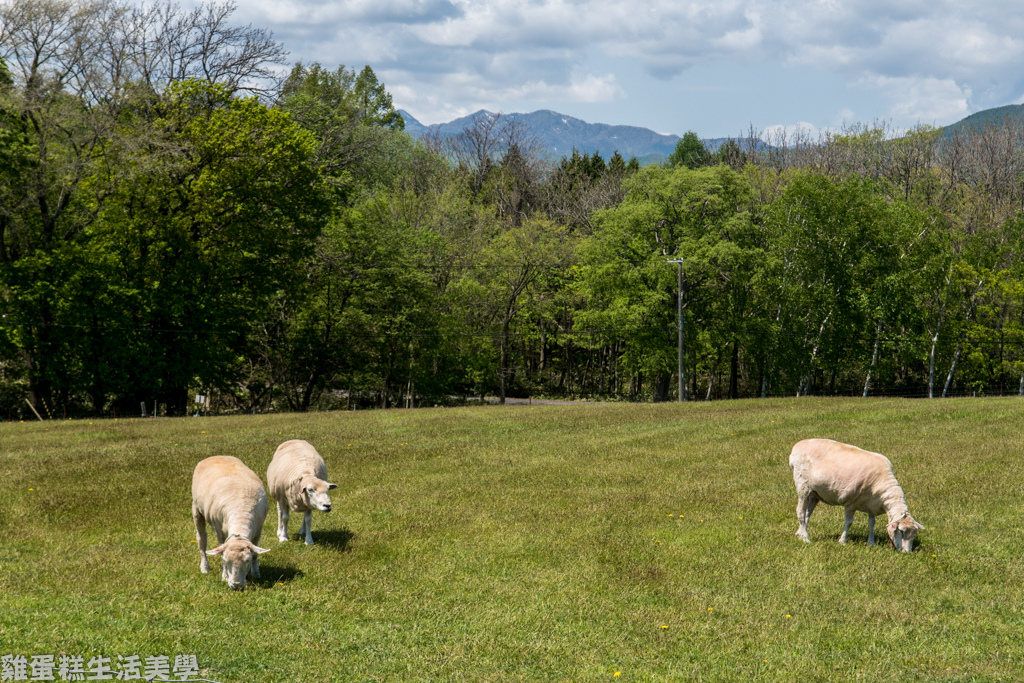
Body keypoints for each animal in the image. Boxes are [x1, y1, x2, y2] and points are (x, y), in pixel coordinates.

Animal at [192, 454, 270, 589]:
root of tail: (217, 455)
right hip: (196, 509)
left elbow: (255, 553)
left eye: (247, 560)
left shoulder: (258, 529)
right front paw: (224, 576)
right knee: (202, 540)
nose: (236, 586)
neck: (241, 510)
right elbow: (220, 550)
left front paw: (256, 573)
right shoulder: (219, 530)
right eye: (226, 560)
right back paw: (205, 567)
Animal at [786, 440, 925, 552]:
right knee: (800, 512)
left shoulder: (872, 503)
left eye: (914, 534)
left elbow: (872, 523)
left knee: (807, 514)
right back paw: (806, 539)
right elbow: (849, 523)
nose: (907, 552)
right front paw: (842, 541)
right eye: (901, 531)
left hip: (815, 493)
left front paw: (871, 543)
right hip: (802, 486)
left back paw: (800, 533)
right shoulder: (850, 503)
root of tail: (797, 446)